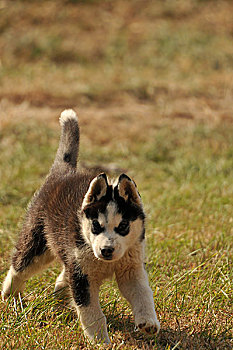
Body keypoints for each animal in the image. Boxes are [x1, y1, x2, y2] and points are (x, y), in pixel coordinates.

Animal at [1, 109, 159, 344]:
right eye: (96, 226)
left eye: (122, 226)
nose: (106, 250)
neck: (106, 262)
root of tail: (63, 173)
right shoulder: (82, 277)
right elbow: (92, 312)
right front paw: (101, 342)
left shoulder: (131, 268)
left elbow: (143, 294)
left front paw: (148, 322)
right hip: (38, 245)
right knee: (19, 267)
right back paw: (10, 296)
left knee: (62, 275)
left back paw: (58, 296)